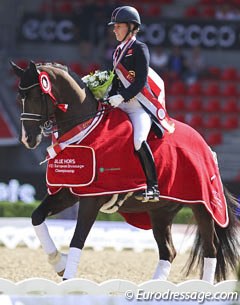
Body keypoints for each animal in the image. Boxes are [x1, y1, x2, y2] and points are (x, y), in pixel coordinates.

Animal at [10, 60, 239, 282]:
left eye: (35, 96)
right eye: (20, 97)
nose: (27, 139)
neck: (85, 129)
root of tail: (207, 148)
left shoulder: (93, 198)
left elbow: (78, 239)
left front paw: (68, 281)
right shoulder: (69, 191)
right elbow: (36, 217)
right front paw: (59, 263)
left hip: (203, 206)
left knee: (211, 248)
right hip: (161, 211)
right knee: (168, 251)